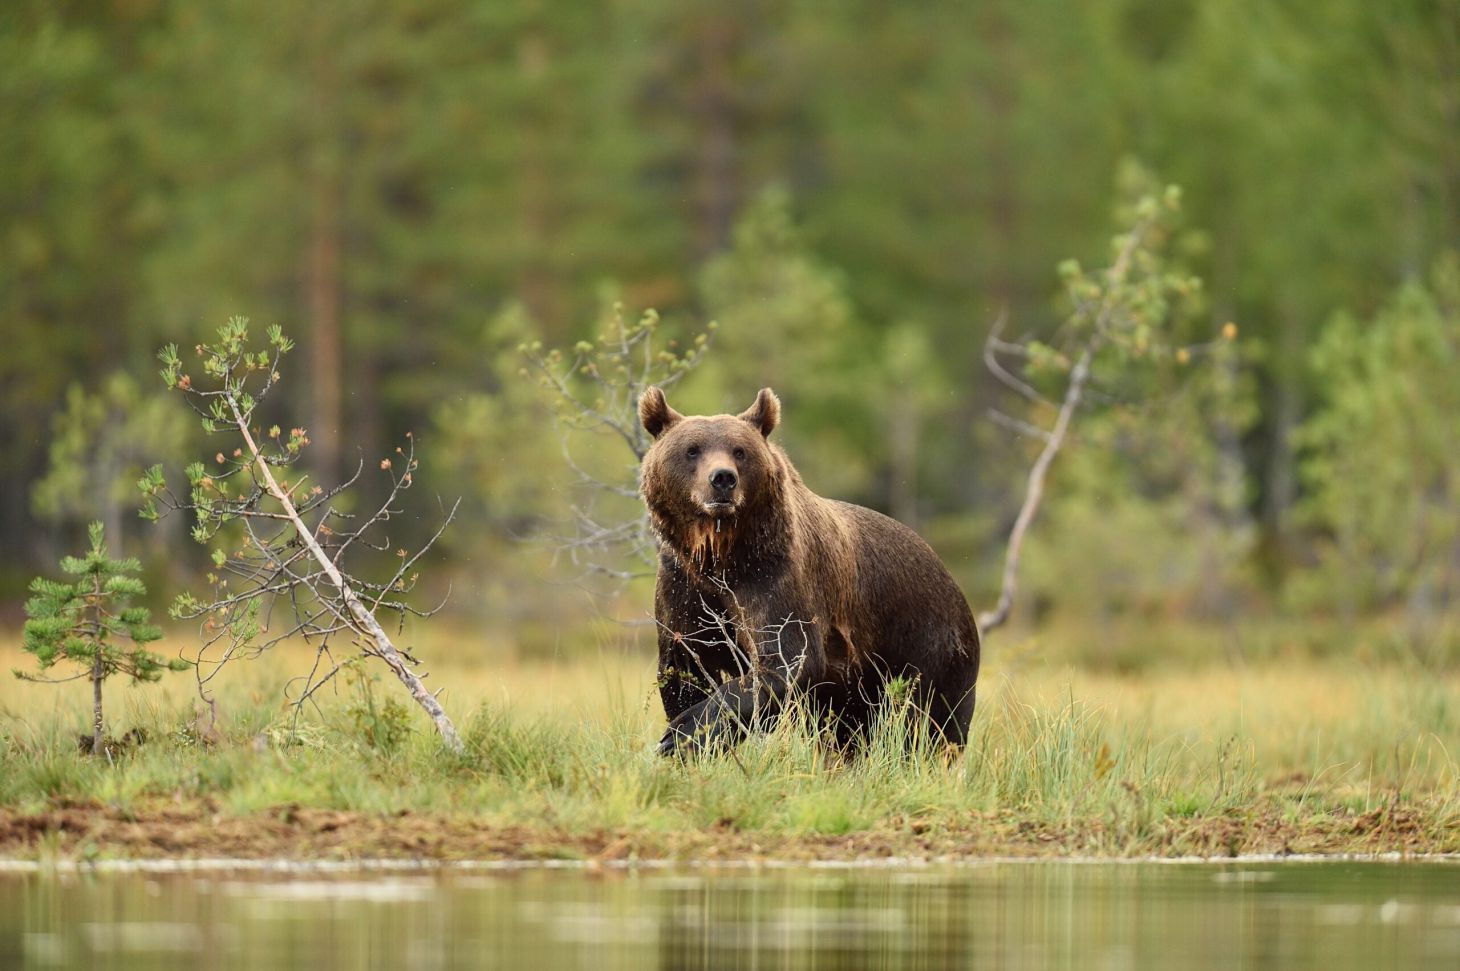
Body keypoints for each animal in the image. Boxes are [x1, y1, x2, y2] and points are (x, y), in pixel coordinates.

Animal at [638, 385, 980, 755]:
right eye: (692, 450)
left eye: (740, 451)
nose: (723, 479)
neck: (721, 552)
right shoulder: (684, 584)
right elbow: (685, 663)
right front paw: (684, 736)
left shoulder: (774, 575)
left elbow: (788, 658)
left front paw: (683, 732)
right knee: (848, 731)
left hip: (927, 647)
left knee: (931, 725)